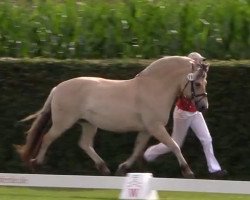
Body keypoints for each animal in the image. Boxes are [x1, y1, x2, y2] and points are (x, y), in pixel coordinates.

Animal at [15, 56, 209, 178]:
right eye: (198, 83)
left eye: (205, 82)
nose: (203, 106)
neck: (154, 87)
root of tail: (57, 88)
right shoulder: (155, 127)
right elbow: (174, 145)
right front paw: (188, 172)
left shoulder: (147, 130)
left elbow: (137, 149)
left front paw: (122, 168)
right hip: (64, 122)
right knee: (48, 138)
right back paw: (36, 164)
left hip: (88, 124)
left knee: (84, 143)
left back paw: (104, 169)